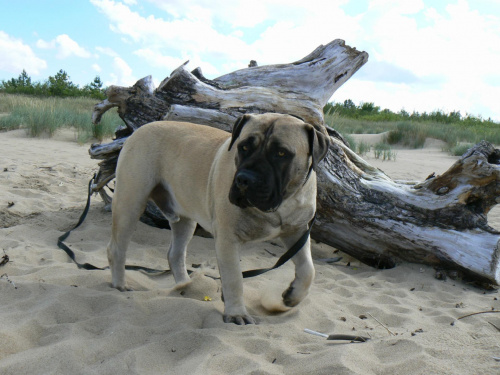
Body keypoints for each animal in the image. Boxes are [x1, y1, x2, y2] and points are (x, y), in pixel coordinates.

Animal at [107, 113, 330, 324]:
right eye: (244, 147)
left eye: (281, 153)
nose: (244, 179)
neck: (281, 204)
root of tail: (139, 129)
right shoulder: (227, 239)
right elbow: (234, 278)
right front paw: (236, 313)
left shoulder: (297, 233)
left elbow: (308, 269)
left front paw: (292, 296)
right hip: (130, 202)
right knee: (117, 249)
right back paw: (121, 284)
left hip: (185, 219)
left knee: (175, 254)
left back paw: (186, 286)